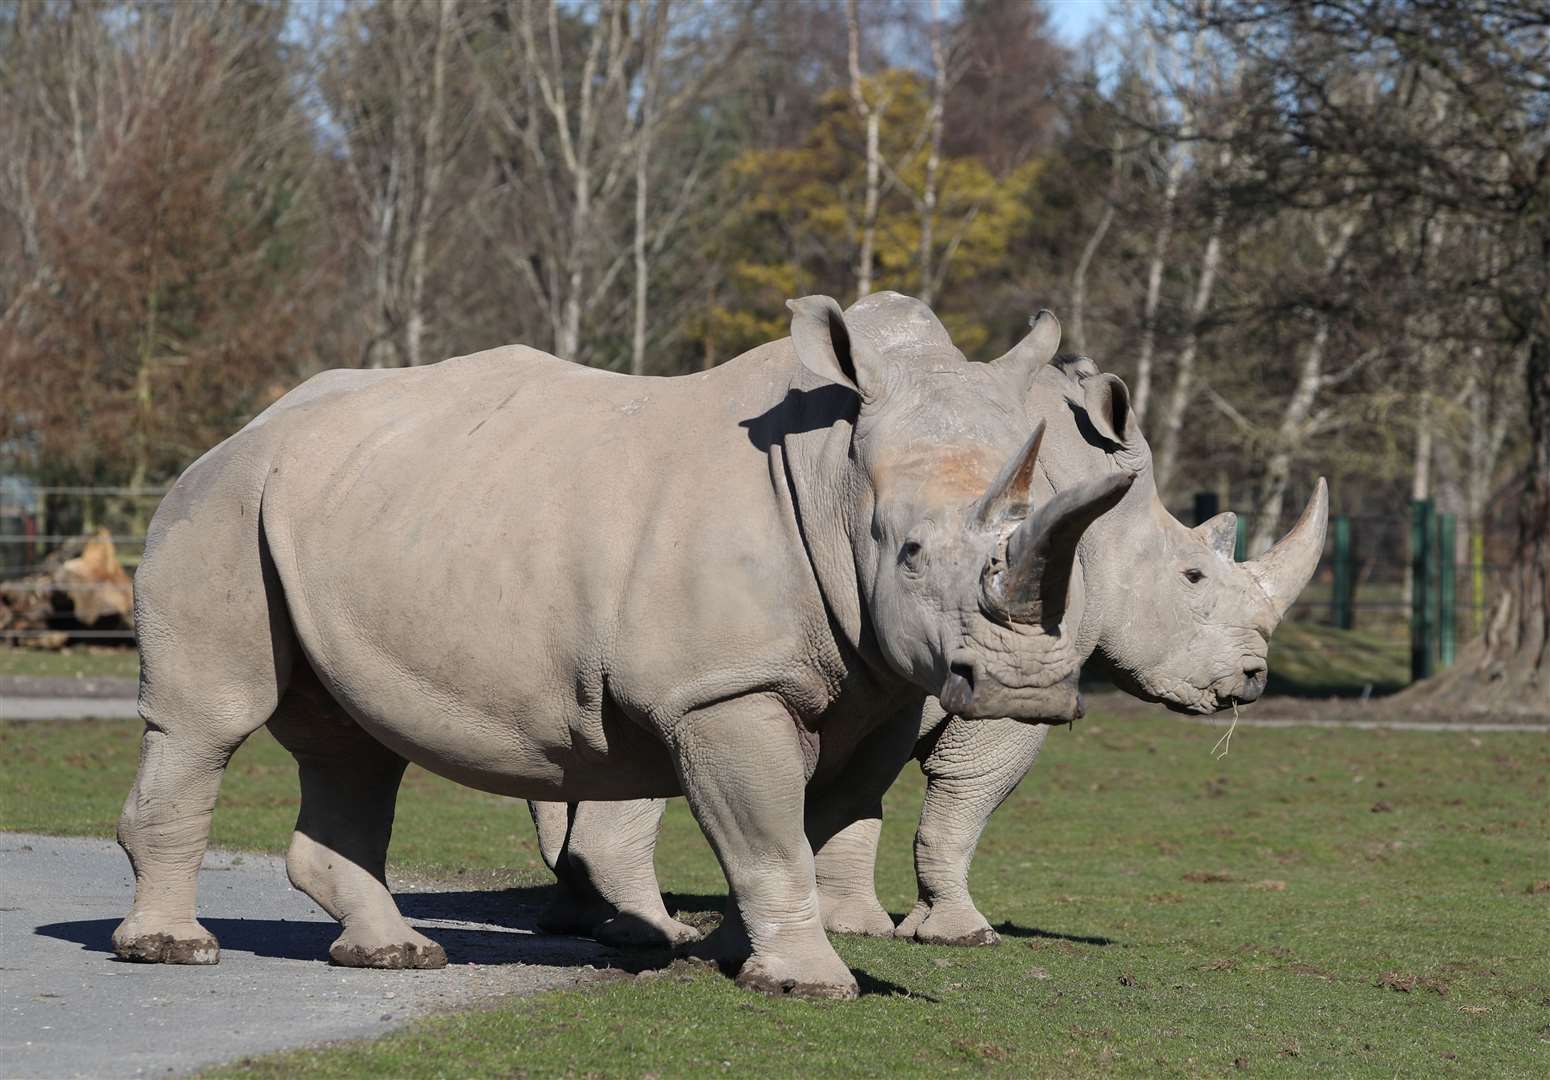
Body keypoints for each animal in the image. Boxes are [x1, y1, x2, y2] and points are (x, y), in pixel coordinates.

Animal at [109, 291, 1134, 997]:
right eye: (910, 550)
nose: (1026, 688)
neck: (832, 472)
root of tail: (237, 432)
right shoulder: (724, 686)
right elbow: (769, 830)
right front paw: (806, 983)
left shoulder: (875, 682)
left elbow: (816, 822)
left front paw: (739, 955)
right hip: (221, 503)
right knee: (212, 721)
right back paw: (175, 949)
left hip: (335, 513)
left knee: (353, 745)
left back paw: (393, 953)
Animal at [530, 309, 1320, 942]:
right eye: (1193, 577)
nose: (1253, 678)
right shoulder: (1012, 678)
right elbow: (963, 800)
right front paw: (957, 933)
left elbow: (861, 805)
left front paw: (857, 924)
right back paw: (648, 931)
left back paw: (585, 921)